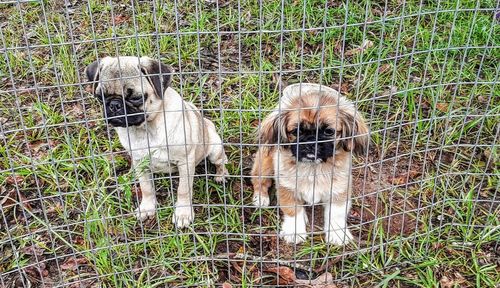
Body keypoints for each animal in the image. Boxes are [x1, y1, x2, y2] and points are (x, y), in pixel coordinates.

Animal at [85, 56, 227, 227]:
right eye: (100, 97)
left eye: (136, 98)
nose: (114, 105)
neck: (145, 129)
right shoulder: (140, 162)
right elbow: (146, 187)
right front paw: (147, 207)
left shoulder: (185, 162)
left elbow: (183, 189)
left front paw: (183, 213)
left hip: (214, 148)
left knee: (221, 161)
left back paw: (221, 175)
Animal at [252, 82, 370, 244]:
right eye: (296, 131)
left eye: (328, 131)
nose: (310, 143)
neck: (313, 168)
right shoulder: (287, 187)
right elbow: (292, 210)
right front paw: (295, 232)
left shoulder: (339, 189)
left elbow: (336, 214)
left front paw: (337, 234)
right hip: (265, 164)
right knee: (259, 180)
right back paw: (261, 198)